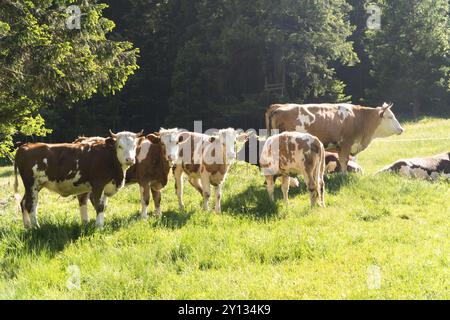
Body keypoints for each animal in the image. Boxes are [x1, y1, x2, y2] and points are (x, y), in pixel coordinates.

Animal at [14, 131, 142, 229]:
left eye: (134, 146)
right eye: (120, 146)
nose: (130, 159)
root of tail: (25, 146)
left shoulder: (106, 186)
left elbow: (103, 206)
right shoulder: (98, 185)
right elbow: (100, 206)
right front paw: (99, 227)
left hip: (34, 186)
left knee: (23, 202)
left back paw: (27, 226)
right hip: (32, 184)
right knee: (31, 204)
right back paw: (36, 227)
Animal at [264, 102, 404, 172]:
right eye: (390, 117)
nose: (402, 129)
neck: (359, 118)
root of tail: (278, 106)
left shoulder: (339, 147)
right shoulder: (346, 144)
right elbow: (344, 161)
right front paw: (344, 176)